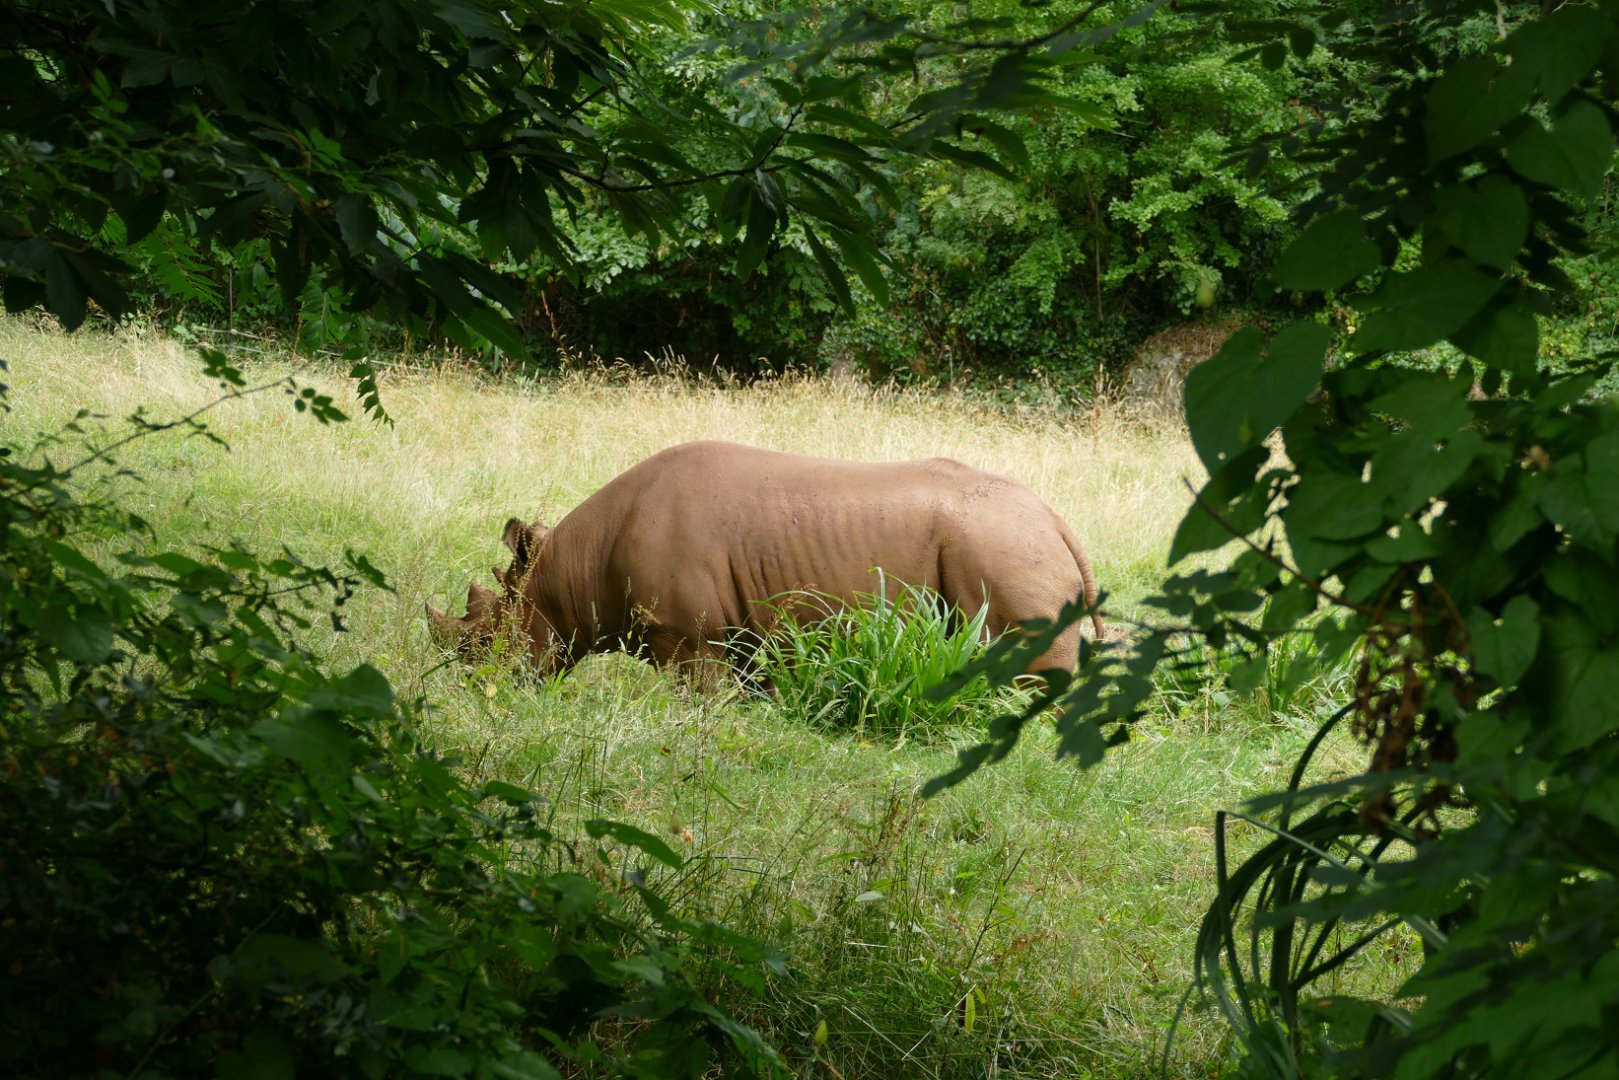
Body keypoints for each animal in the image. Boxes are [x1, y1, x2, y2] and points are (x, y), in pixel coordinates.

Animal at [427, 440, 1103, 678]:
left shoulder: (690, 638)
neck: (571, 570)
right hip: (1013, 541)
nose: (477, 687)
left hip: (1003, 546)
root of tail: (1056, 520)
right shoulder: (743, 634)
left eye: (489, 640)